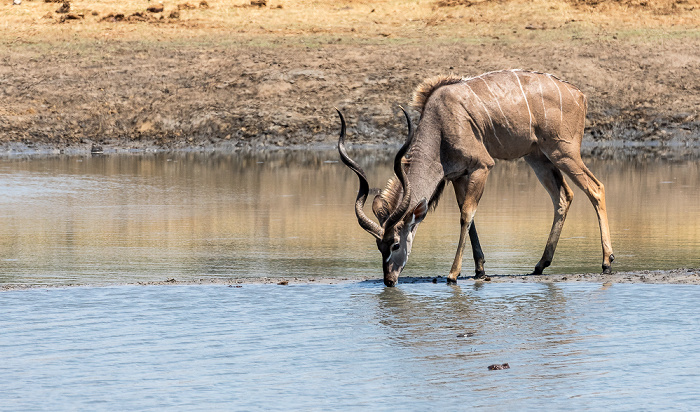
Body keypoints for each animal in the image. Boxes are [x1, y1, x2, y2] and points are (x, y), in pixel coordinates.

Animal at [340, 70, 612, 286]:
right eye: (379, 246)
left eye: (395, 244)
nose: (389, 280)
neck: (440, 125)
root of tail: (579, 94)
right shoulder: (459, 176)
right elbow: (468, 217)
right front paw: (480, 270)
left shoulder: (482, 166)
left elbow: (466, 215)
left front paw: (453, 274)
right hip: (538, 158)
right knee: (563, 196)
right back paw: (540, 265)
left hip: (563, 152)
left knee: (596, 188)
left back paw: (607, 262)